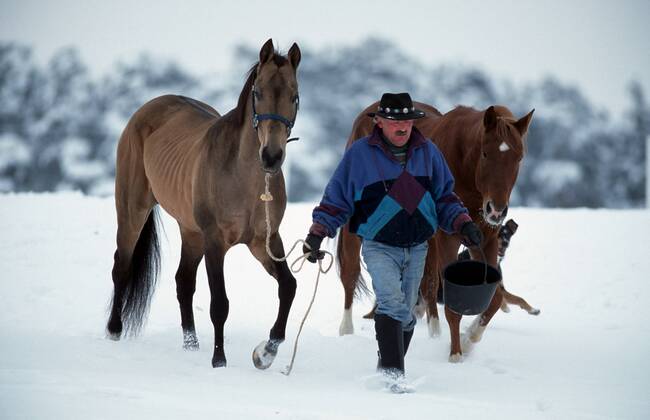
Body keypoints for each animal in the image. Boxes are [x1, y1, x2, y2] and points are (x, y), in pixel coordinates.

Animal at [106, 39, 302, 369]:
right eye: (258, 93)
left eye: (294, 95)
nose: (271, 157)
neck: (245, 179)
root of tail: (149, 107)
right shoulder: (215, 241)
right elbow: (219, 304)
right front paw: (219, 360)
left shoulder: (265, 241)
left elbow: (288, 287)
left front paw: (267, 351)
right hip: (133, 210)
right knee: (122, 266)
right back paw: (114, 331)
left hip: (191, 232)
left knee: (183, 281)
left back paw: (191, 344)